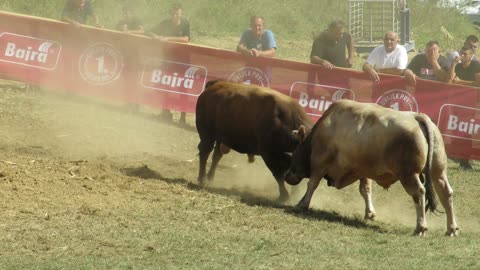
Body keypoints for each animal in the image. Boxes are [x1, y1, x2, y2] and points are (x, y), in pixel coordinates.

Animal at [284, 99, 458, 236]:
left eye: (294, 152)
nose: (287, 175)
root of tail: (418, 117)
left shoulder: (319, 162)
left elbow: (312, 184)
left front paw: (302, 203)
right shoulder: (363, 170)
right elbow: (365, 190)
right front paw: (370, 213)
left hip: (409, 174)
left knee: (419, 192)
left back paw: (421, 227)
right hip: (438, 172)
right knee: (446, 193)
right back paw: (451, 228)